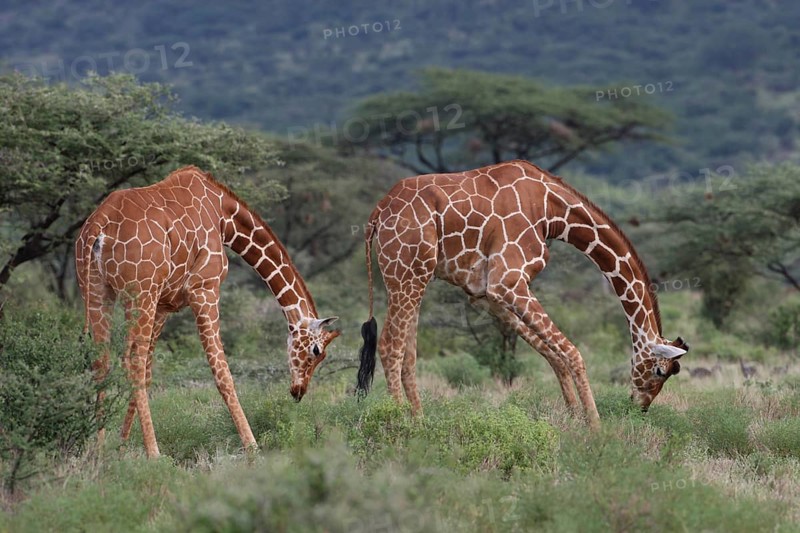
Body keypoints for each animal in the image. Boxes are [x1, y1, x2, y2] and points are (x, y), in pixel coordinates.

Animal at [75, 165, 339, 458]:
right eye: (315, 351)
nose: (298, 391)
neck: (224, 216)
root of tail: (99, 223)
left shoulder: (165, 304)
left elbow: (149, 372)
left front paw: (121, 445)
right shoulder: (205, 288)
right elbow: (222, 372)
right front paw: (252, 446)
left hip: (98, 291)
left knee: (103, 361)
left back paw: (97, 451)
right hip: (141, 293)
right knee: (130, 360)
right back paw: (155, 454)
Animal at [355, 160, 688, 426]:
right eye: (660, 371)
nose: (641, 406)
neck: (552, 212)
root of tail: (377, 213)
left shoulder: (486, 293)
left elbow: (554, 355)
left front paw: (574, 418)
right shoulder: (508, 280)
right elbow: (572, 353)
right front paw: (596, 427)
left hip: (414, 276)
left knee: (408, 352)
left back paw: (420, 421)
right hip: (406, 273)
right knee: (390, 346)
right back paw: (401, 423)